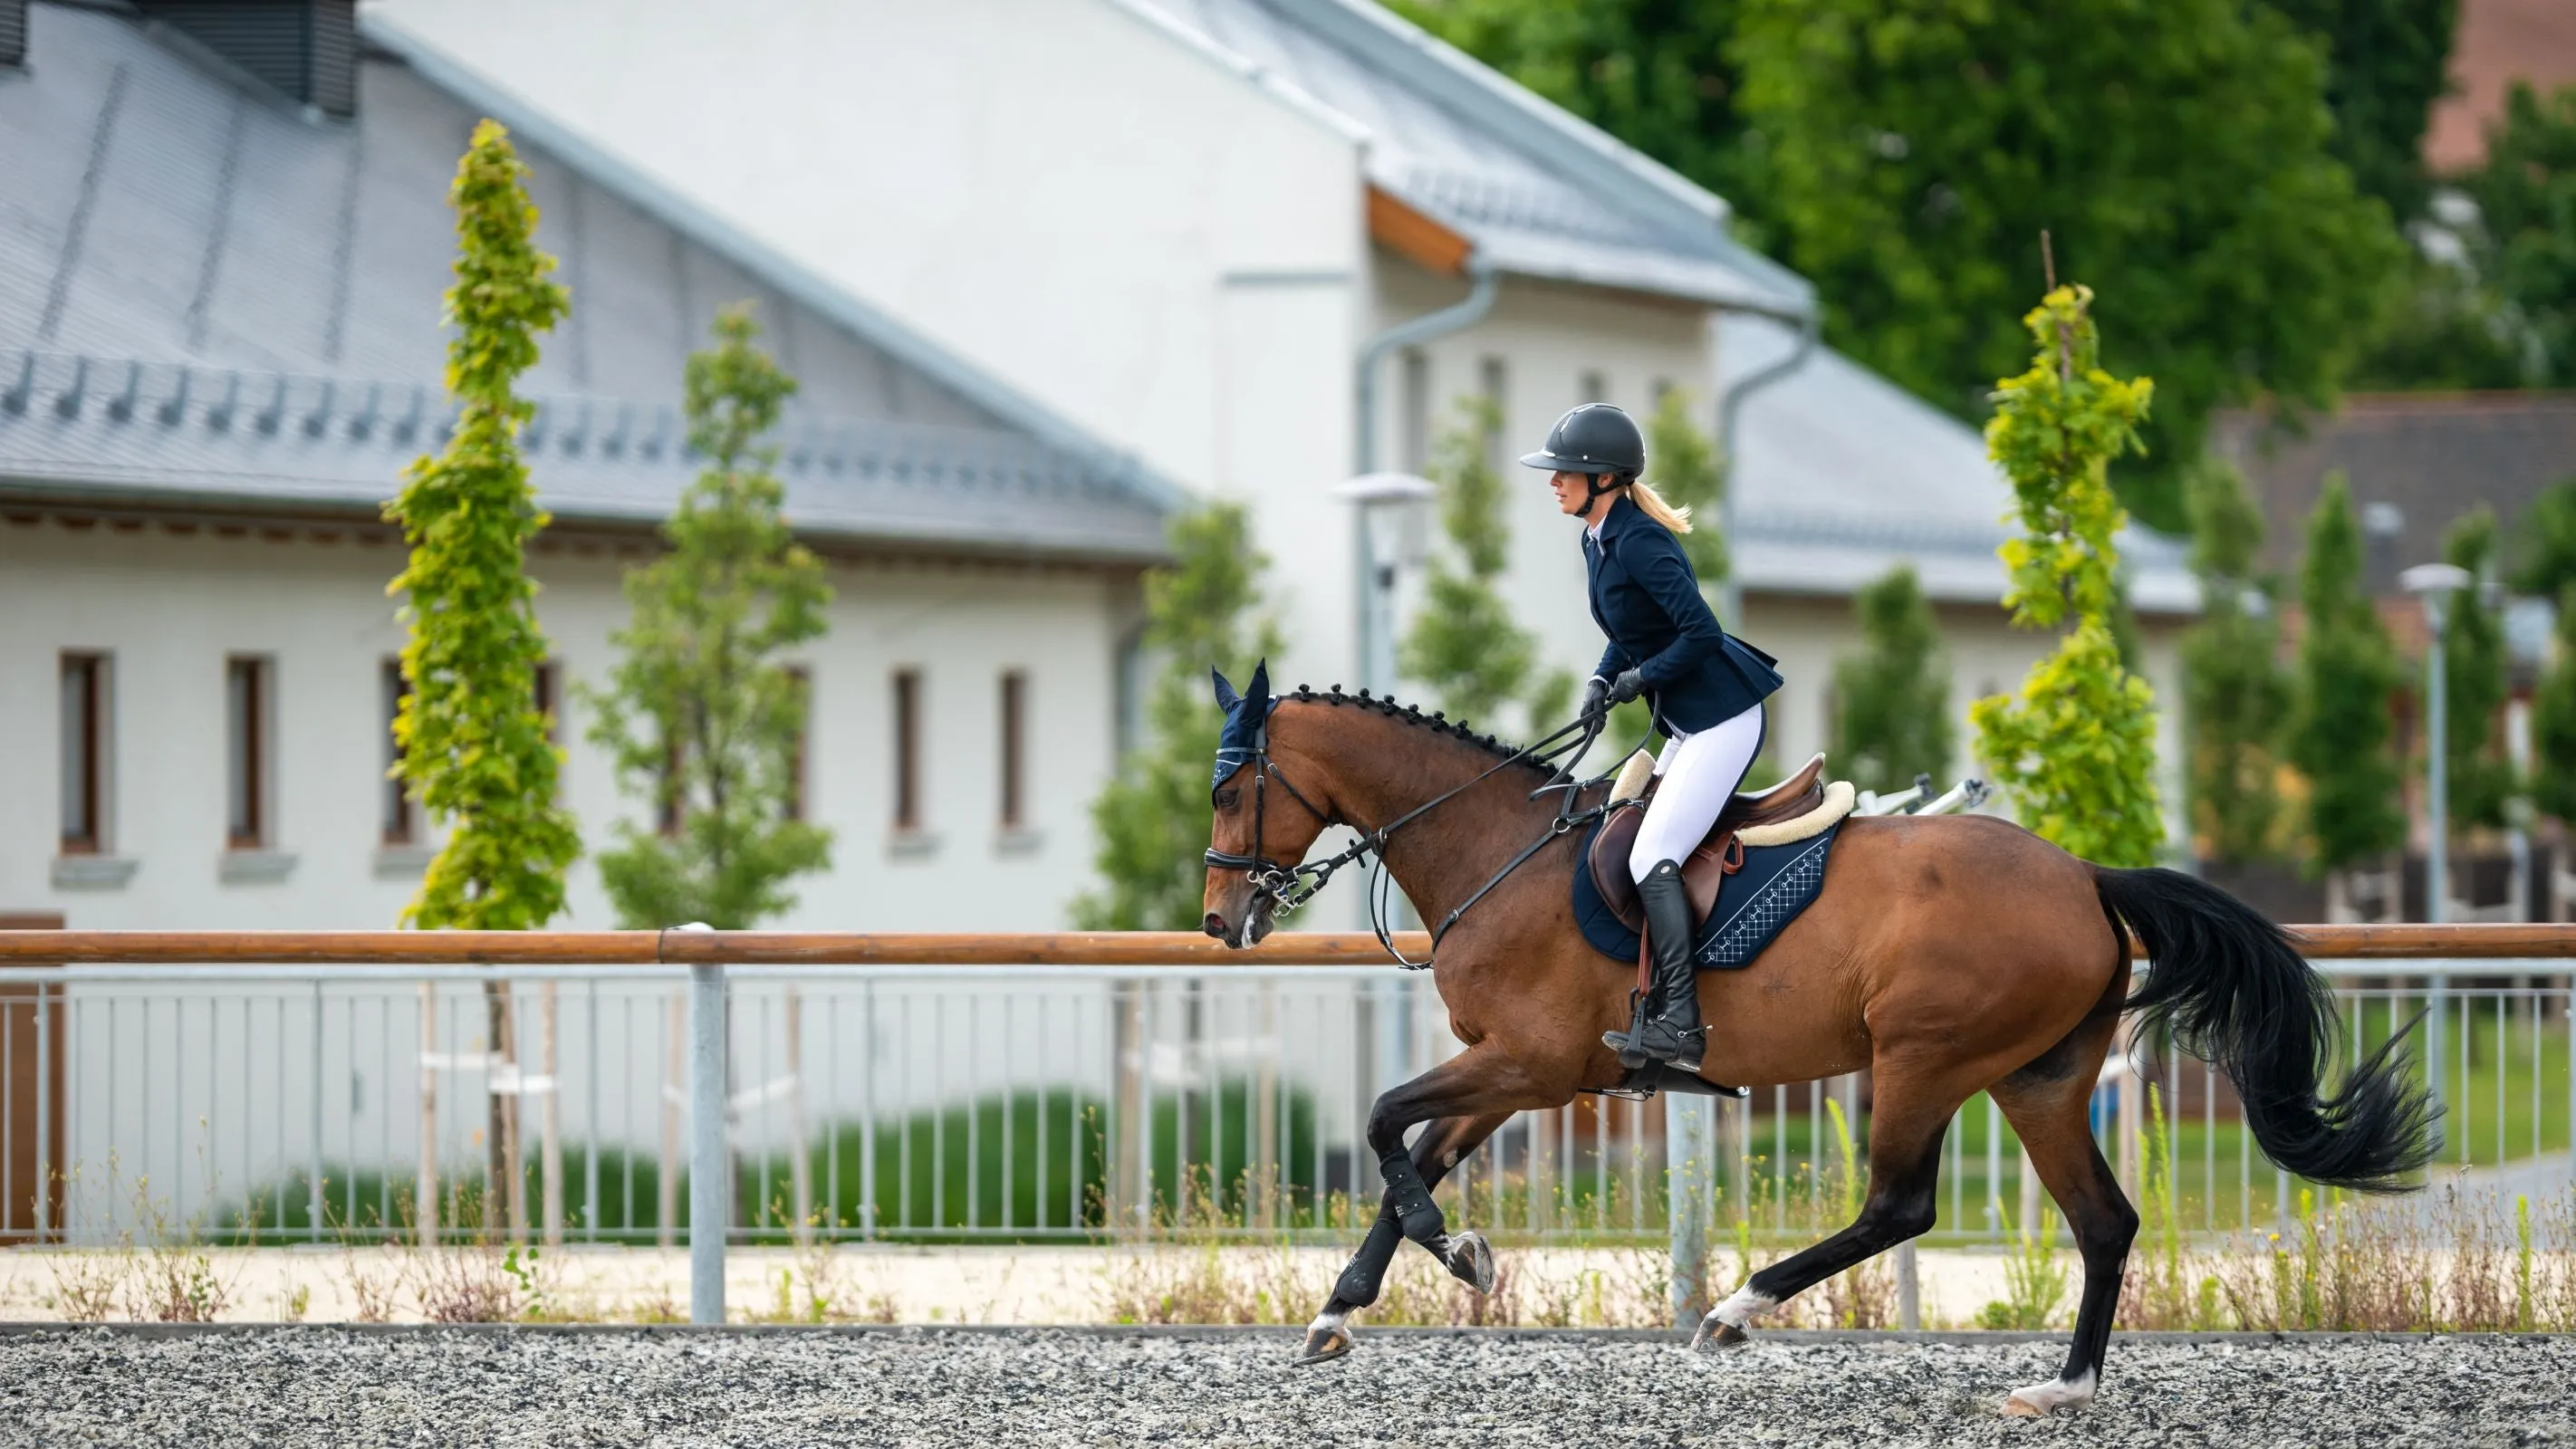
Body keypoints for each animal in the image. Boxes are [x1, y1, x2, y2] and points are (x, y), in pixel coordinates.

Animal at [1195, 679, 2421, 1420]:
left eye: (1230, 787)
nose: (1219, 920)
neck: (1494, 845)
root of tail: (2083, 875)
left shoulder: (1534, 1063)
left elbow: (1385, 1124)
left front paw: (1457, 1255)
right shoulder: (1512, 1067)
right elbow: (1413, 1155)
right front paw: (1351, 1304)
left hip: (1924, 1059)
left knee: (1900, 1206)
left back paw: (1737, 1310)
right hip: (2040, 1079)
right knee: (2102, 1221)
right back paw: (2063, 1388)